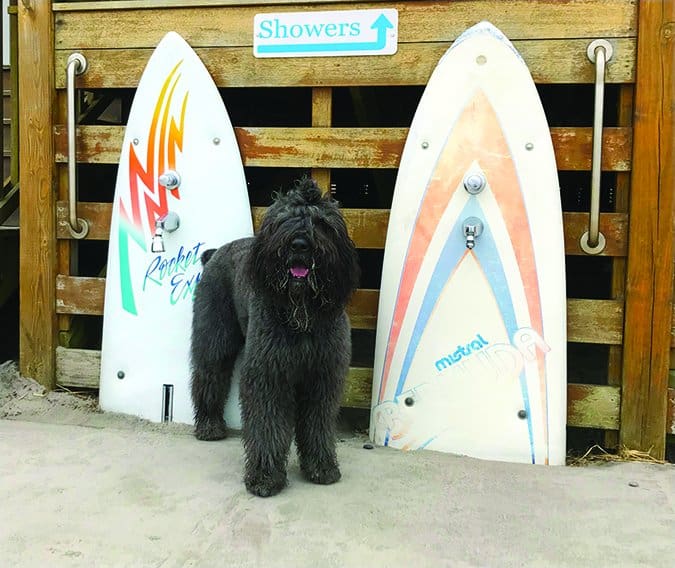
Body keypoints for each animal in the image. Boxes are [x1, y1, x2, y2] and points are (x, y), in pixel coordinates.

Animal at [190, 178, 360, 496]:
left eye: (321, 223)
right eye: (284, 219)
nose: (300, 244)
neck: (302, 316)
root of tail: (216, 252)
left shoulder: (322, 377)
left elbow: (317, 424)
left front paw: (321, 467)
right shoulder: (268, 376)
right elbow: (267, 425)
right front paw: (265, 476)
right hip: (215, 339)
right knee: (209, 377)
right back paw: (209, 426)